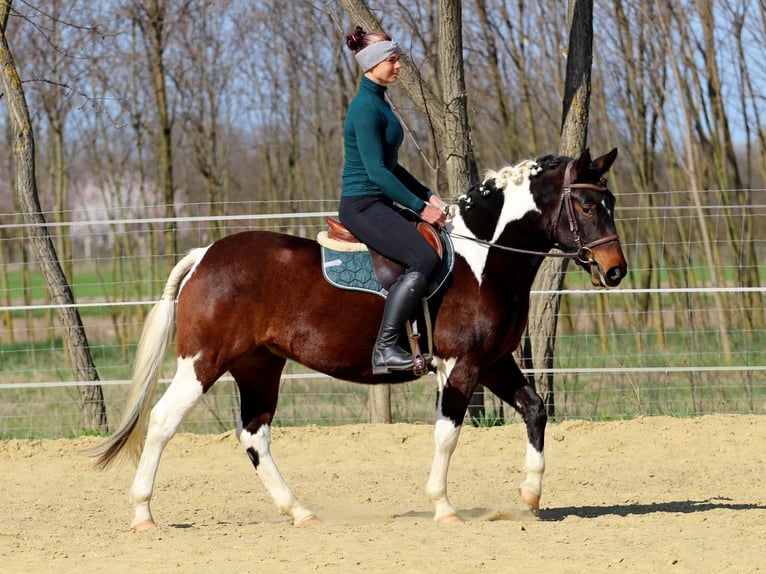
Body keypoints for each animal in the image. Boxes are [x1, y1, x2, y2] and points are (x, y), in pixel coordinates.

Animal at [89, 148, 627, 530]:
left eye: (610, 202)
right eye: (585, 205)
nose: (615, 270)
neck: (483, 259)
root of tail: (204, 254)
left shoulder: (493, 361)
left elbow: (535, 410)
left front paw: (530, 496)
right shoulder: (461, 365)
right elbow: (448, 434)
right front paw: (443, 506)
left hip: (259, 366)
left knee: (254, 434)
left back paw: (299, 511)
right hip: (203, 361)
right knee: (163, 422)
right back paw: (143, 515)